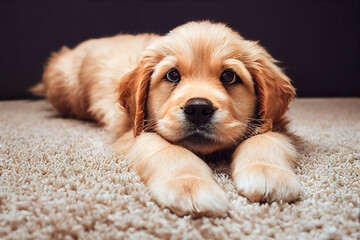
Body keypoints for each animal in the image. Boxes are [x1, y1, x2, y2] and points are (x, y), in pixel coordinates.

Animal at [33, 20, 304, 217]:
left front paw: (268, 174)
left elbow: (266, 138)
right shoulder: (134, 132)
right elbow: (169, 149)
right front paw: (190, 186)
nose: (198, 109)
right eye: (173, 75)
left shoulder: (275, 123)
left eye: (229, 76)